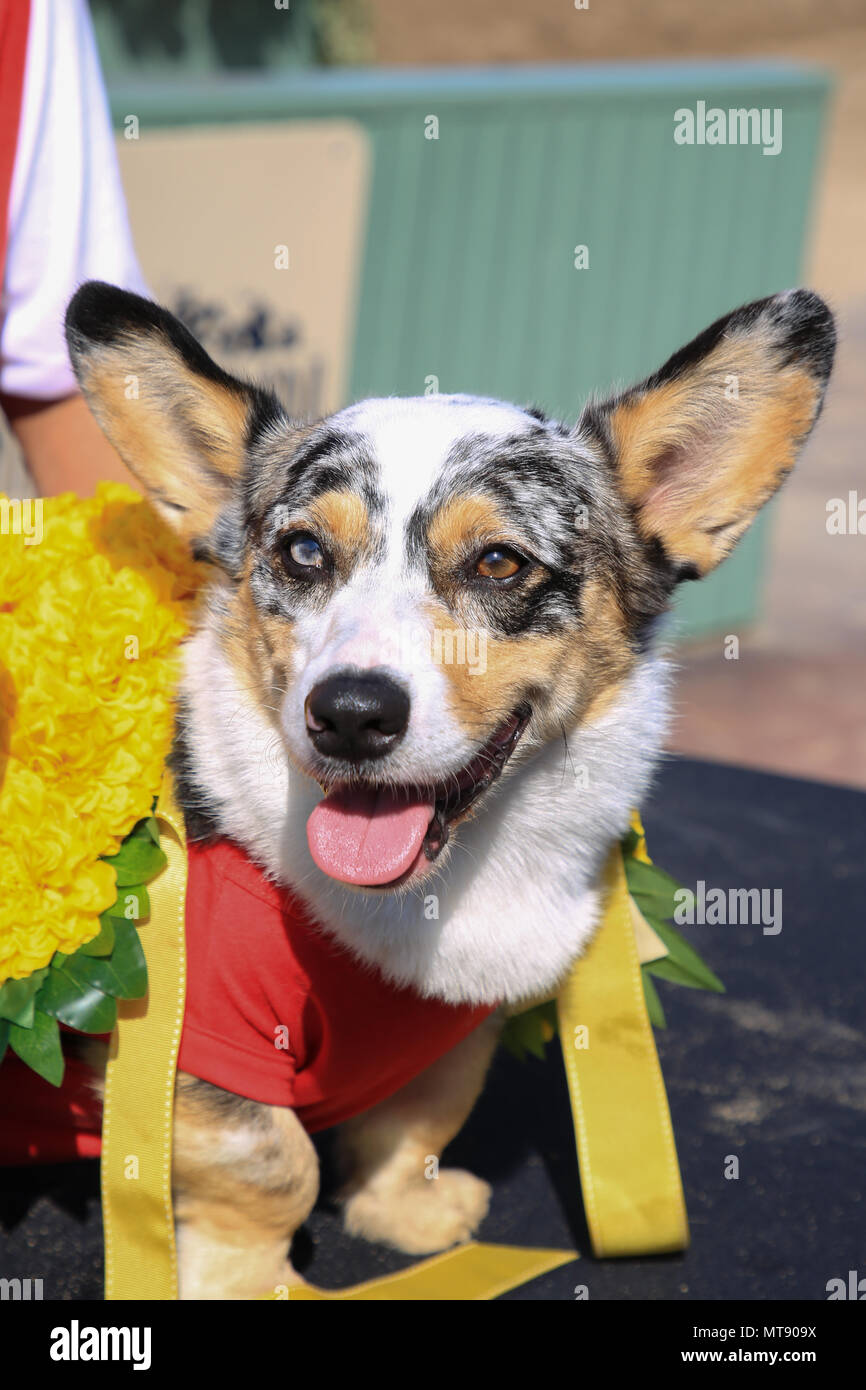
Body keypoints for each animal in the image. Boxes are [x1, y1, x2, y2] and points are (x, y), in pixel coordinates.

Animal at [62, 284, 834, 1301]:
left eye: (500, 563)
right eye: (301, 551)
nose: (348, 715)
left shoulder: (451, 1035)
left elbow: (416, 1122)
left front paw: (407, 1215)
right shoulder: (198, 1038)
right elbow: (274, 1163)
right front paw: (251, 1281)